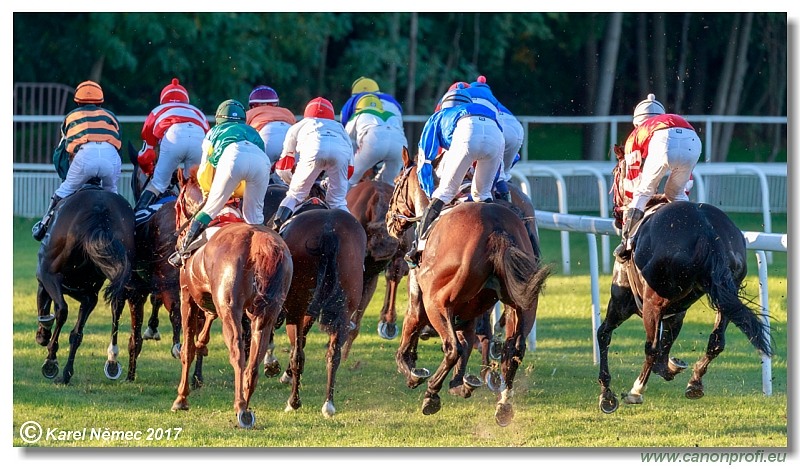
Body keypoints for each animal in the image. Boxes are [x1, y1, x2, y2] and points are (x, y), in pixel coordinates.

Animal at [34, 186, 136, 384]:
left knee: (62, 310)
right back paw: (111, 361)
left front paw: (48, 347)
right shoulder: (88, 295)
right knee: (116, 306)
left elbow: (51, 308)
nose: (40, 338)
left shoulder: (46, 279)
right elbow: (77, 334)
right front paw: (67, 372)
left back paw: (51, 361)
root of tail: (99, 210)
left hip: (49, 274)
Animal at [170, 168, 294, 428]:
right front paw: (203, 344)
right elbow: (205, 324)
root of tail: (260, 244)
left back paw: (241, 407)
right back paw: (246, 398)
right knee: (255, 357)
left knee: (238, 351)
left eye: (177, 204)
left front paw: (181, 399)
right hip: (266, 312)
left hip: (231, 308)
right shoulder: (212, 299)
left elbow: (187, 349)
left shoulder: (187, 295)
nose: (179, 236)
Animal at [386, 157, 552, 424]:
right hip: (524, 303)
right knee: (513, 349)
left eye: (396, 182)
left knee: (452, 347)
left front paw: (413, 373)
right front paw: (460, 382)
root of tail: (497, 229)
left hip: (436, 302)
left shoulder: (419, 301)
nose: (390, 220)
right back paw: (503, 404)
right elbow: (468, 341)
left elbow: (408, 342)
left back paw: (432, 393)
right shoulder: (470, 310)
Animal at [600, 153, 776, 410]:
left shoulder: (621, 302)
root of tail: (706, 230)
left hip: (652, 302)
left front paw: (606, 395)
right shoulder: (677, 312)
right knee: (716, 341)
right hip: (725, 292)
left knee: (651, 347)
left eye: (615, 174)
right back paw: (694, 382)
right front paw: (673, 366)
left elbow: (604, 334)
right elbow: (665, 351)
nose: (615, 213)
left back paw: (636, 391)